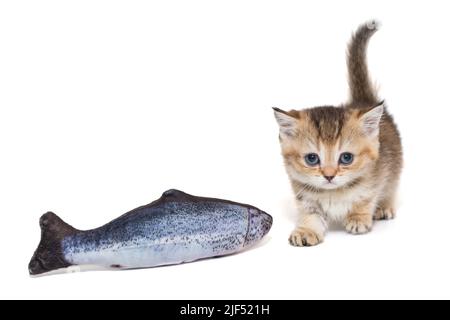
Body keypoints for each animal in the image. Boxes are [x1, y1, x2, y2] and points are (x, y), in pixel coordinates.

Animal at [272, 21, 402, 246]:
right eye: (312, 159)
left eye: (346, 158)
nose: (329, 175)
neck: (334, 192)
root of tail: (363, 101)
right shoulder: (306, 199)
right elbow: (310, 216)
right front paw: (305, 231)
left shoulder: (377, 178)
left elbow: (367, 199)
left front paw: (358, 218)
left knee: (391, 187)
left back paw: (384, 206)